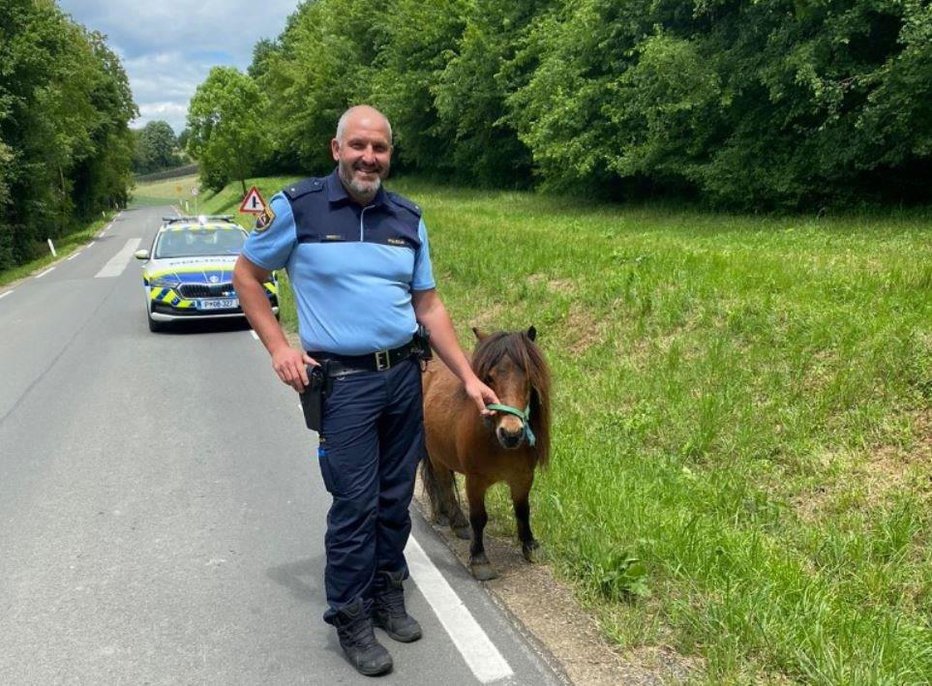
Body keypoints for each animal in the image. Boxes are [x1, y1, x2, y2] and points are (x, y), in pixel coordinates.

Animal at [420, 328, 548, 580]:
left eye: (529, 378)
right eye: (489, 378)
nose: (511, 433)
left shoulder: (523, 478)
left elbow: (523, 511)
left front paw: (530, 546)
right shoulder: (475, 481)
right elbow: (479, 518)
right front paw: (479, 559)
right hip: (436, 455)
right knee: (443, 483)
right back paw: (456, 521)